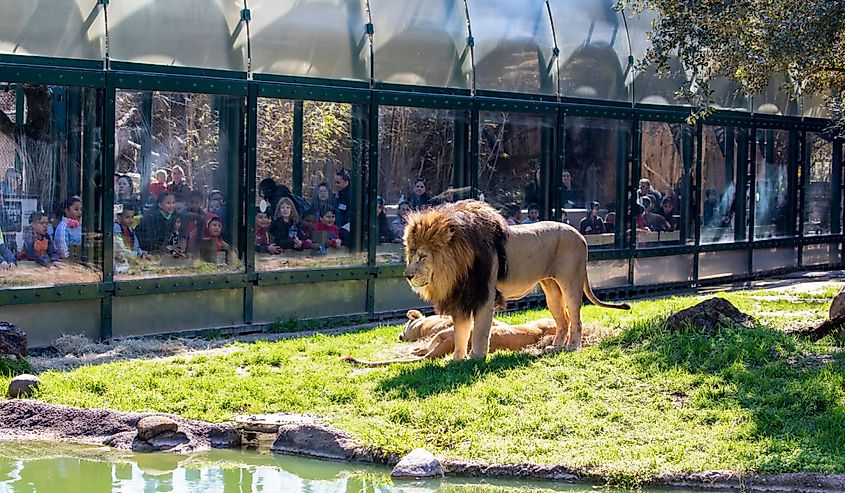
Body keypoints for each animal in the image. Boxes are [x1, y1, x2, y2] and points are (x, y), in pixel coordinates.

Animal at [402, 199, 628, 358]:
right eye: (410, 255)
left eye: (422, 256)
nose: (408, 276)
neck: (456, 267)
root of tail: (581, 235)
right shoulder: (463, 297)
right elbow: (460, 332)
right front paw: (457, 358)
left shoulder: (484, 296)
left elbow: (480, 331)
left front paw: (476, 357)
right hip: (551, 290)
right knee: (563, 320)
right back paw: (554, 347)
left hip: (571, 283)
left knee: (575, 318)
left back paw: (572, 347)